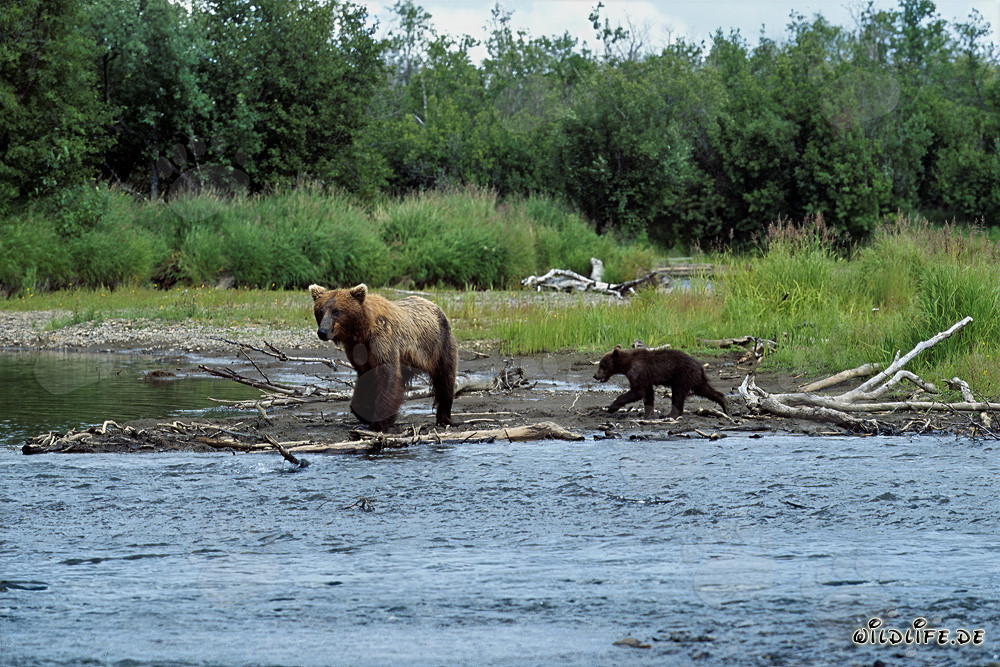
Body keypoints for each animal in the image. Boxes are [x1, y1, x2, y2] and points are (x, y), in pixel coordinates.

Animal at [309, 283, 458, 431]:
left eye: (336, 311)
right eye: (321, 311)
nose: (322, 332)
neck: (362, 331)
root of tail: (434, 305)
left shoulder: (382, 341)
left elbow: (388, 376)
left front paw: (378, 423)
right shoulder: (358, 350)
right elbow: (366, 378)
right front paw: (363, 411)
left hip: (440, 345)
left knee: (445, 378)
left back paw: (444, 418)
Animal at [593, 344, 728, 419]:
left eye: (602, 366)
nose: (595, 375)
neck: (627, 364)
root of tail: (700, 366)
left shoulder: (637, 371)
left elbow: (638, 391)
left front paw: (611, 407)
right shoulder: (645, 377)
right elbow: (648, 393)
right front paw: (647, 413)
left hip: (682, 376)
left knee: (678, 394)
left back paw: (670, 414)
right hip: (694, 378)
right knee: (705, 389)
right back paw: (724, 403)